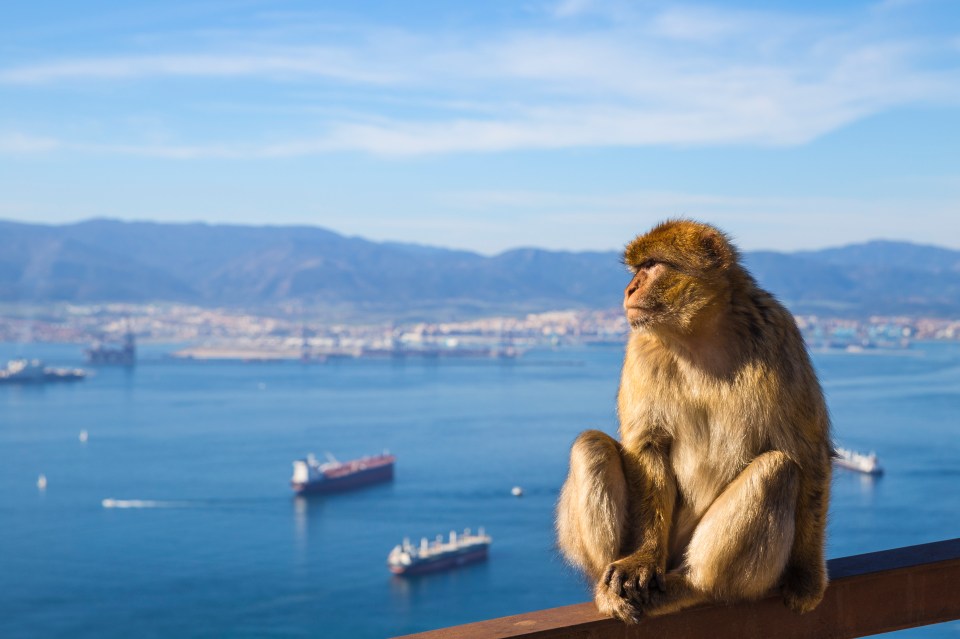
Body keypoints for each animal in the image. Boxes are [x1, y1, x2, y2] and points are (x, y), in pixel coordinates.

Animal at [556, 221, 832, 624]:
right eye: (638, 268)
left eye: (652, 265)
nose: (629, 289)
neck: (699, 337)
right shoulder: (641, 346)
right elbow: (648, 446)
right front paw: (641, 559)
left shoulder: (779, 333)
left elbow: (808, 452)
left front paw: (806, 576)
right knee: (590, 444)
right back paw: (609, 589)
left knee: (777, 469)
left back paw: (694, 586)